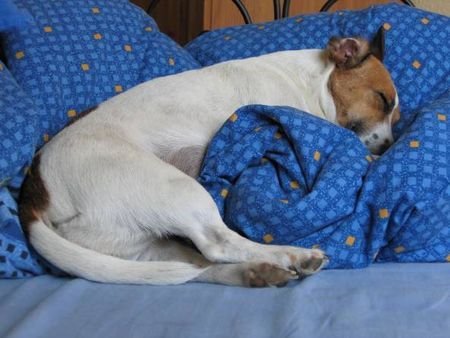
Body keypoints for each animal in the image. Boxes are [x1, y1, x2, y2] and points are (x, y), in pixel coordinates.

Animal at [18, 29, 400, 288]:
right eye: (382, 99)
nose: (389, 147)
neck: (309, 83)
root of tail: (36, 191)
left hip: (138, 244)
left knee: (195, 265)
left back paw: (252, 272)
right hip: (175, 189)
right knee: (218, 244)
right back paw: (294, 254)